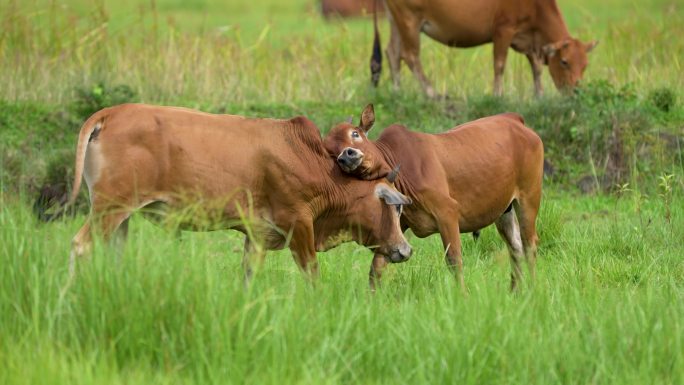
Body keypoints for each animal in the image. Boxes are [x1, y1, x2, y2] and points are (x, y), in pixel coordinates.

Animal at [67, 102, 412, 282]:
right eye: (394, 207)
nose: (405, 250)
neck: (317, 165)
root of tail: (110, 113)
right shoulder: (299, 223)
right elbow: (312, 273)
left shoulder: (257, 235)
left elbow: (248, 275)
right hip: (109, 207)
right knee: (80, 246)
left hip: (121, 215)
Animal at [324, 103, 544, 290]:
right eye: (331, 153)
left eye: (355, 134)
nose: (346, 155)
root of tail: (513, 119)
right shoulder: (395, 224)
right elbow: (377, 266)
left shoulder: (447, 212)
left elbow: (454, 260)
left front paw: (462, 295)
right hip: (505, 209)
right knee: (515, 246)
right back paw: (515, 290)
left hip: (529, 197)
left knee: (529, 244)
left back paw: (533, 289)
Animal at [368, 0, 600, 97]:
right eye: (564, 61)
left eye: (586, 65)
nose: (577, 90)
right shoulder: (503, 29)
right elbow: (499, 64)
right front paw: (498, 95)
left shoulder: (529, 42)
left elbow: (536, 69)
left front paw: (539, 95)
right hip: (410, 19)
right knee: (410, 55)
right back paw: (431, 92)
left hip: (395, 18)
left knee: (392, 52)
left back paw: (397, 90)